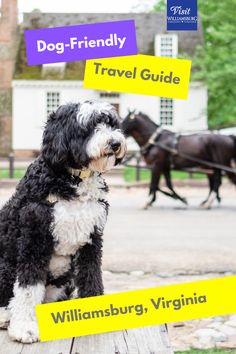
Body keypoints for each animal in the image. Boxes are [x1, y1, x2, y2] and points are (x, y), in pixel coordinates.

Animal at [0, 99, 126, 342]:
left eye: (111, 123)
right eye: (89, 126)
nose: (115, 143)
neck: (73, 180)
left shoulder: (92, 239)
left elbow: (91, 276)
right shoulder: (34, 237)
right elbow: (28, 287)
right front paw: (24, 327)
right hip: (6, 267)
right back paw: (6, 316)